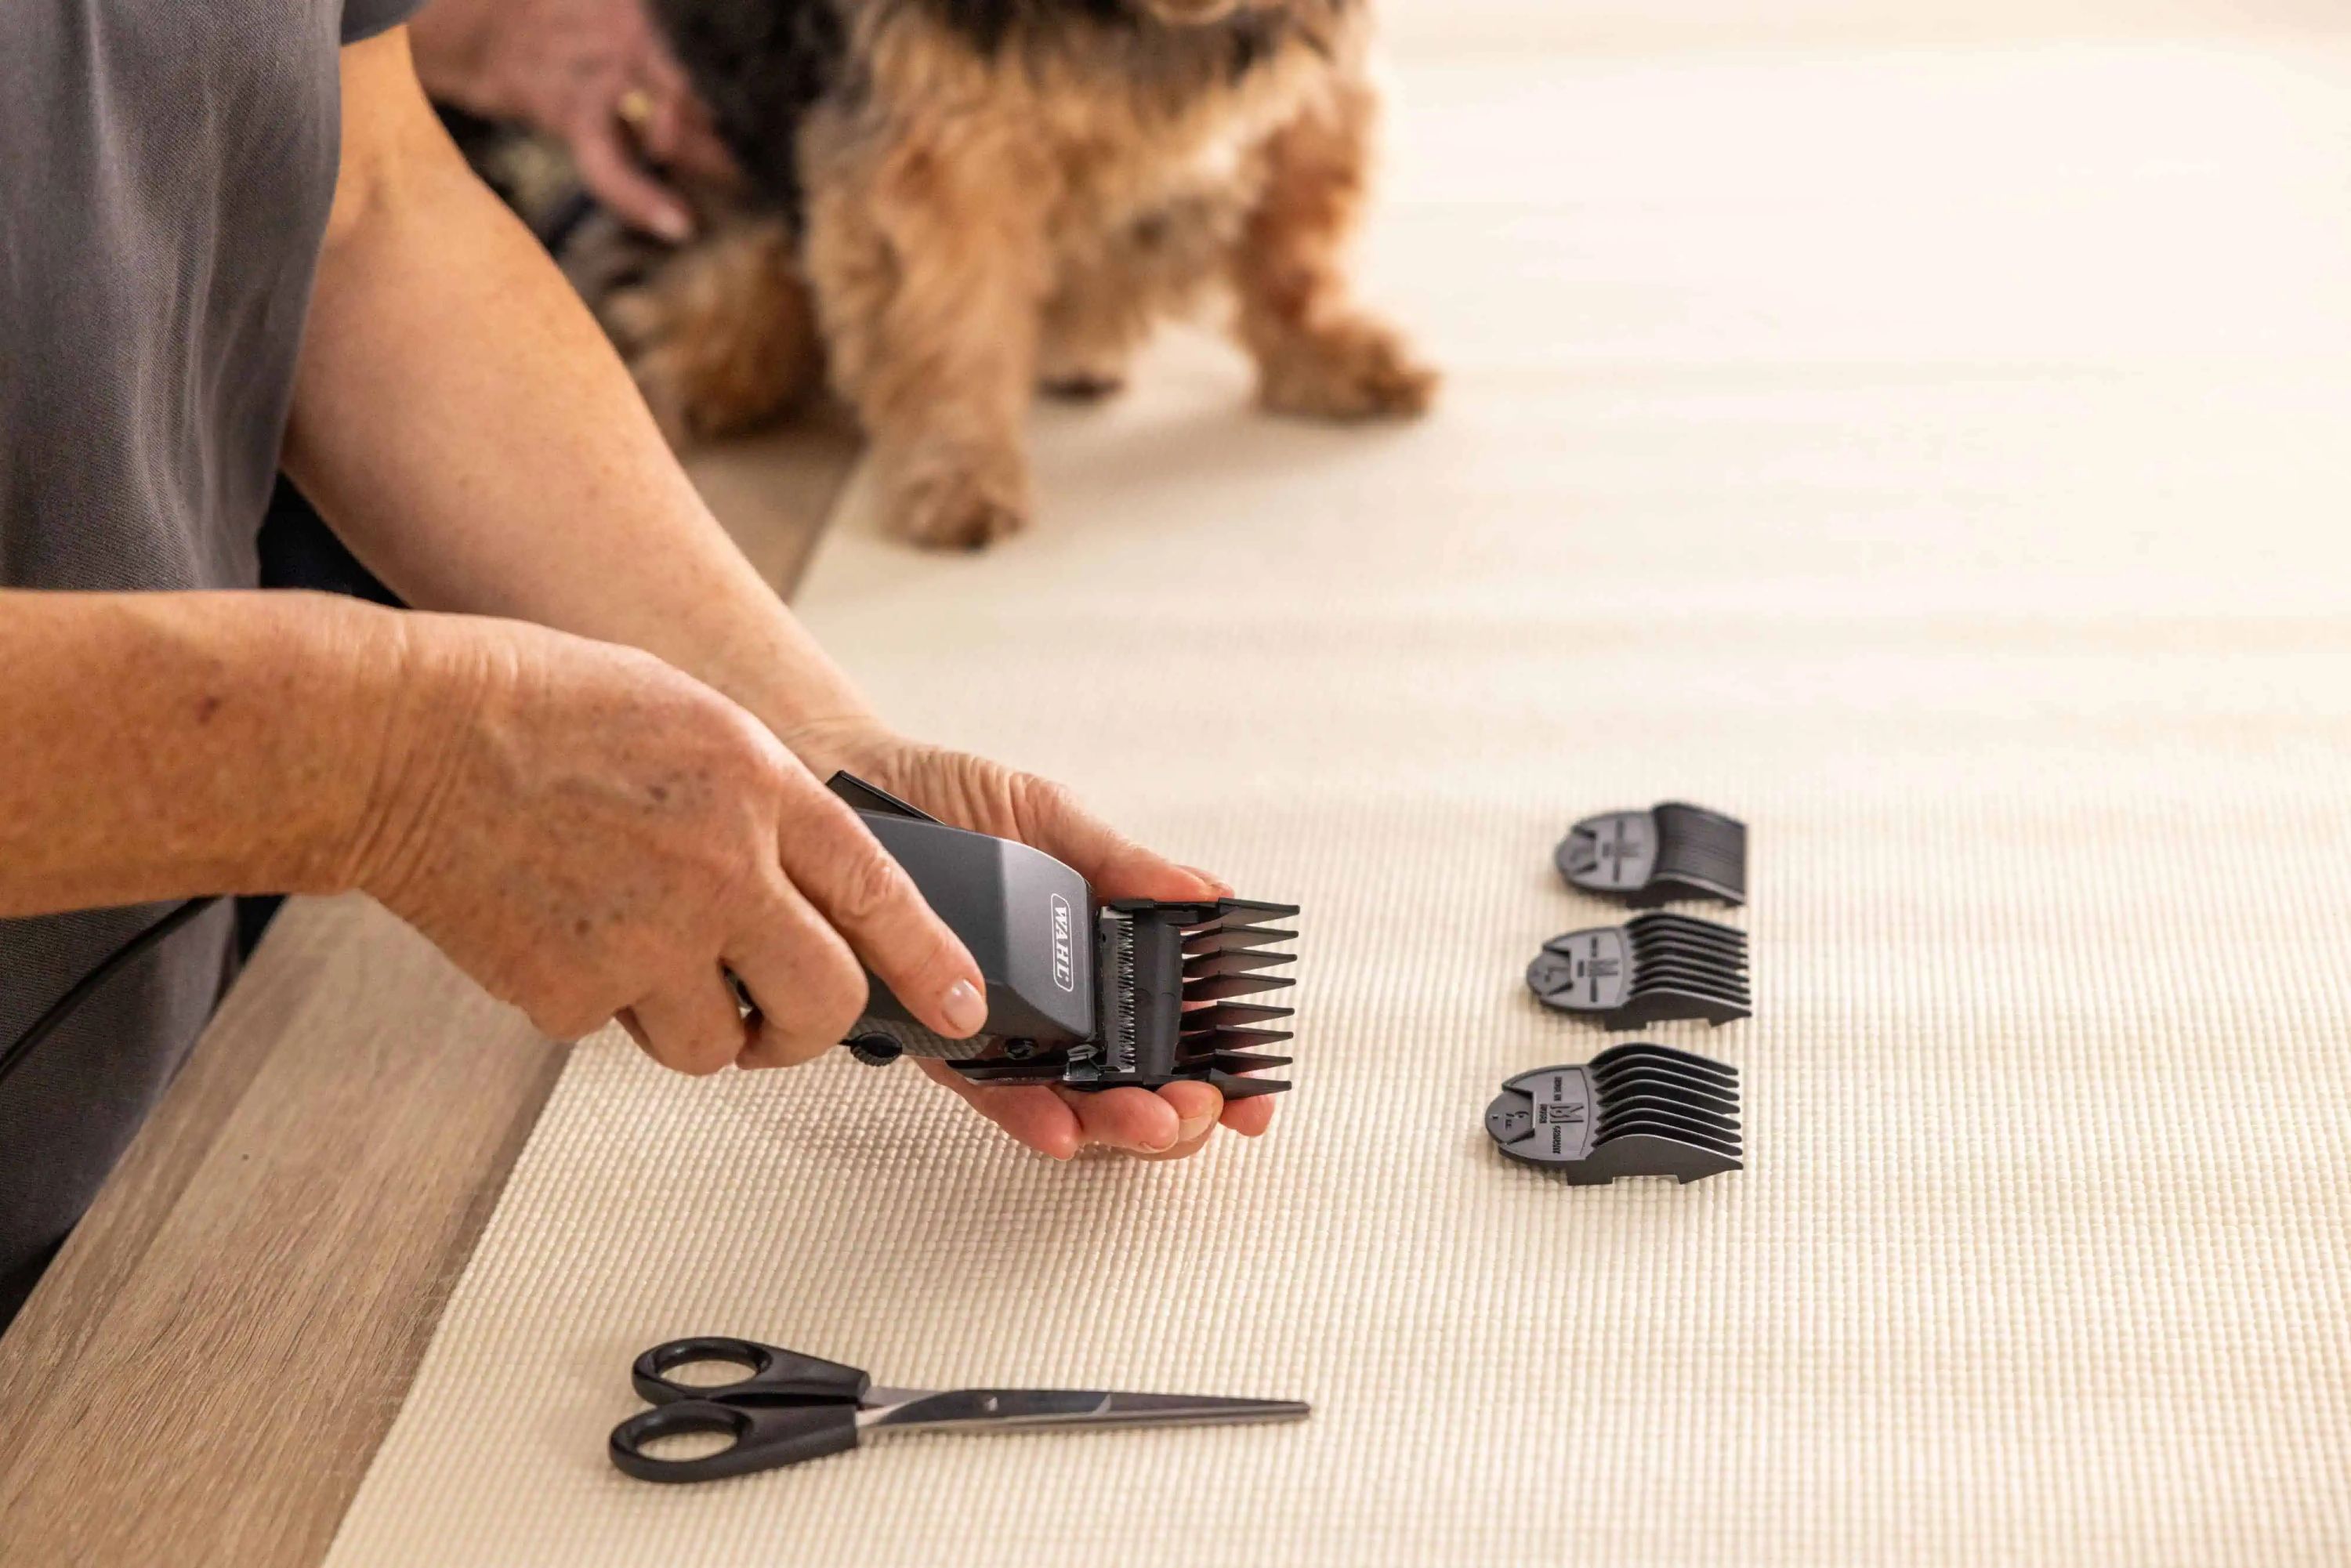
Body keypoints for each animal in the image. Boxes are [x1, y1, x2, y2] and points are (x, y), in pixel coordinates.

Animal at [597, 0, 1436, 548]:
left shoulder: (1324, 85)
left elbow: (1298, 235)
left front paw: (1326, 355)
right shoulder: (940, 142)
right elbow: (946, 320)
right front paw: (960, 466)